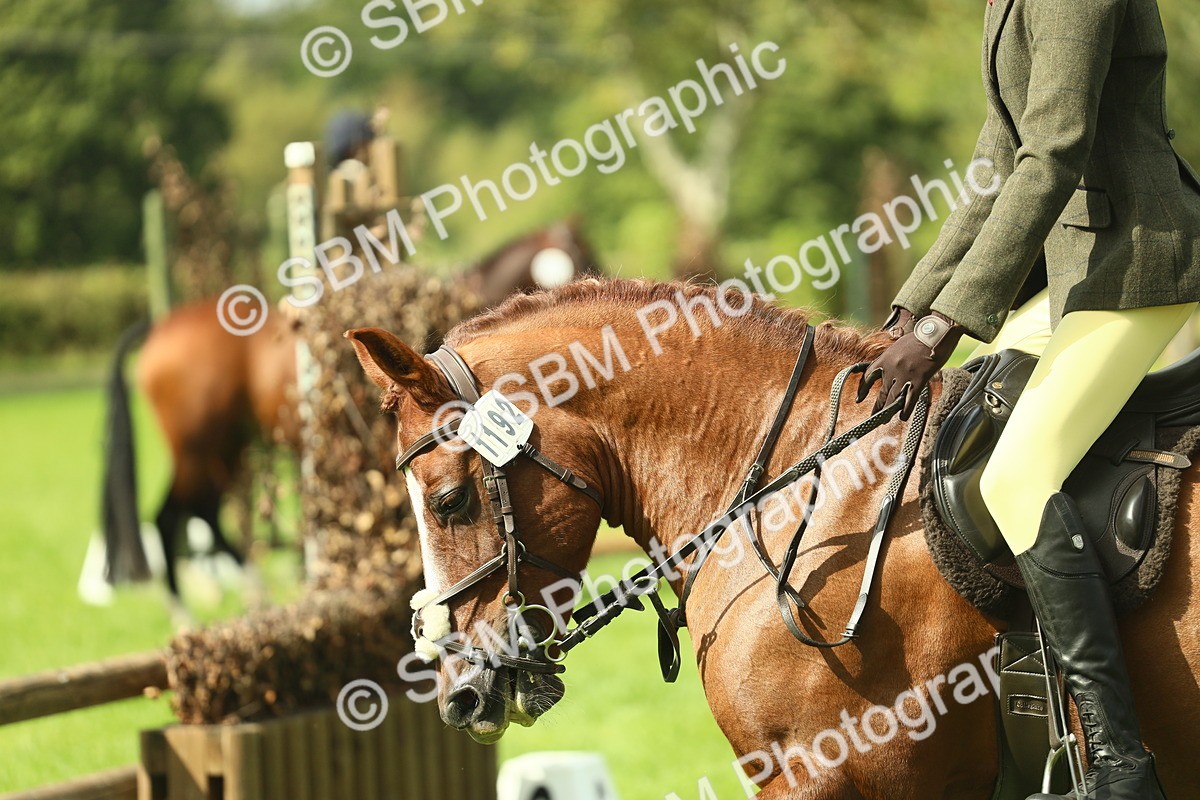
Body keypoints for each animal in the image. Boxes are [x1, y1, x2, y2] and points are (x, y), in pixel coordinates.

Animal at [101, 218, 602, 603]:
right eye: (579, 256)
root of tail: (161, 328)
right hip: (199, 447)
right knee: (172, 517)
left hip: (227, 447)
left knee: (196, 512)